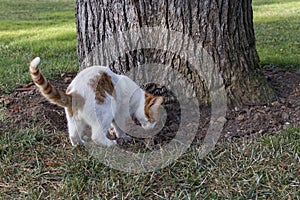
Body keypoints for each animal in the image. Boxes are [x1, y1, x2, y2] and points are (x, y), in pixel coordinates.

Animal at [29, 57, 163, 146]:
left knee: (73, 136)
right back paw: (110, 143)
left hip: (74, 120)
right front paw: (123, 136)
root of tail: (74, 94)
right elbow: (119, 127)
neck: (137, 97)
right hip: (106, 112)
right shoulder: (119, 112)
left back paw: (80, 143)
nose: (152, 128)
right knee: (97, 136)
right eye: (153, 120)